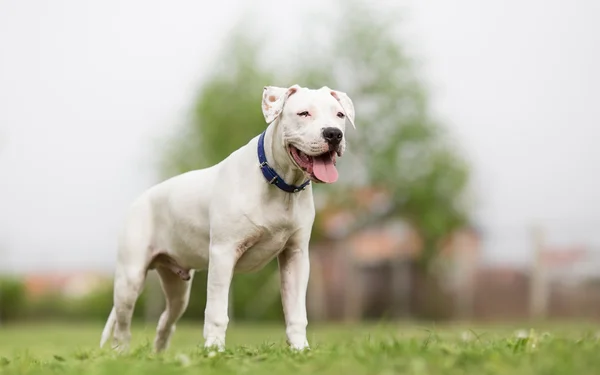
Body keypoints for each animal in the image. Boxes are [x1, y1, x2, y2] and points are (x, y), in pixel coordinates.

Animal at [98, 83, 352, 354]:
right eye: (304, 113)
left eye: (340, 115)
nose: (333, 134)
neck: (278, 182)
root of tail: (138, 201)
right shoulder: (223, 252)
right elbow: (217, 311)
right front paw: (214, 350)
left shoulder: (296, 256)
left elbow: (296, 312)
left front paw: (300, 349)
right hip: (130, 280)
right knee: (122, 328)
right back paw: (121, 354)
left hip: (178, 289)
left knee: (166, 321)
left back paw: (159, 356)